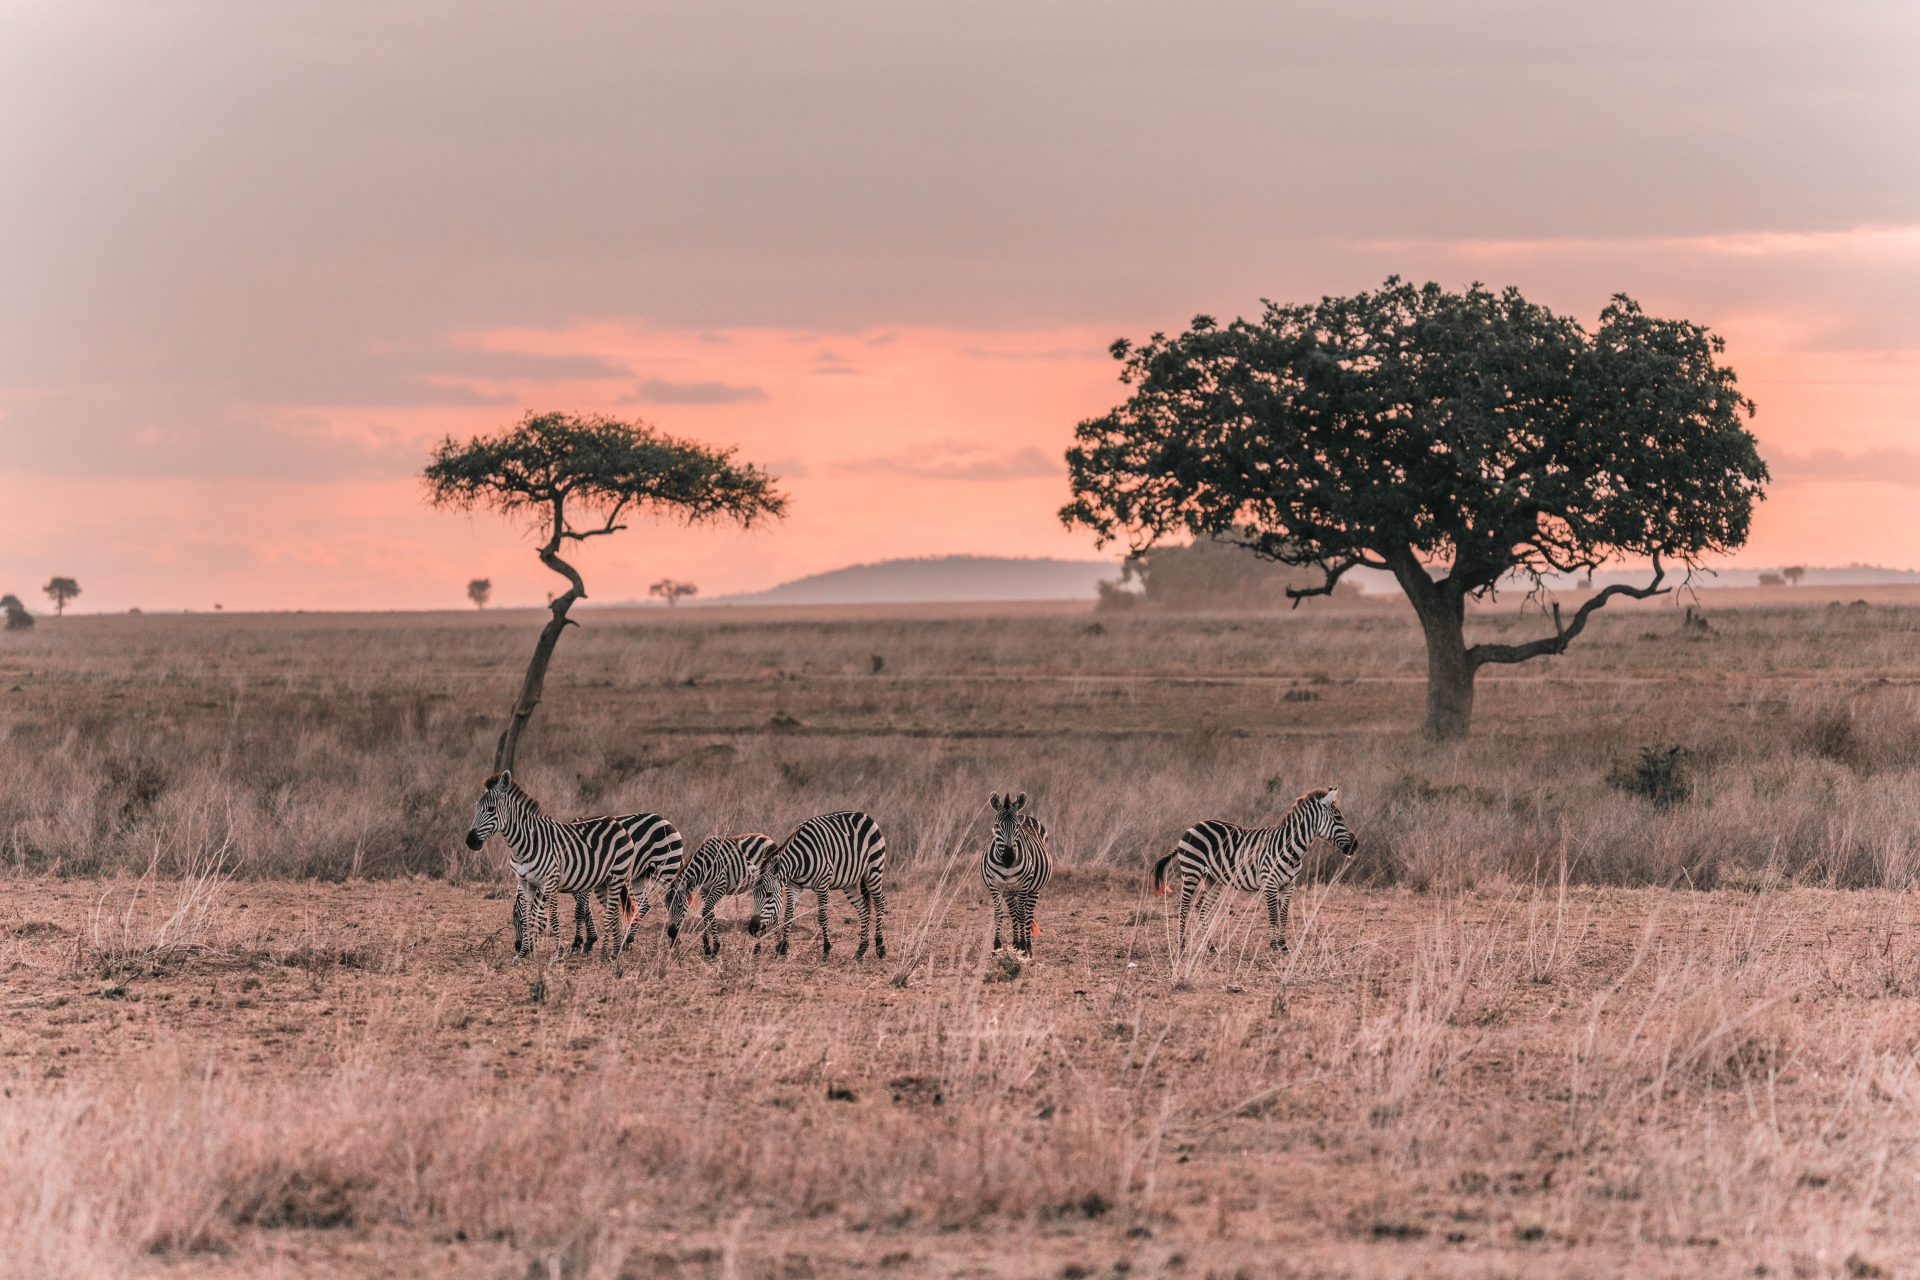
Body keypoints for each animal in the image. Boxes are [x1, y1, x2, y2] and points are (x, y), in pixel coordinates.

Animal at [460, 771, 672, 959]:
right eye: (476, 808)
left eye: (491, 809)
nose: (470, 841)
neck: (526, 844)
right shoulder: (530, 882)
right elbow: (539, 915)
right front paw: (524, 954)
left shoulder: (558, 881)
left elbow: (560, 916)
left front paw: (566, 950)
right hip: (614, 880)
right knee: (620, 910)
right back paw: (617, 948)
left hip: (645, 873)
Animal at [564, 817, 687, 955]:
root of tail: (667, 822)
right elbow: (585, 909)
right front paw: (590, 940)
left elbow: (580, 909)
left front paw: (577, 942)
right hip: (640, 876)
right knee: (645, 906)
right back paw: (628, 939)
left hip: (666, 869)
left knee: (679, 899)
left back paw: (675, 937)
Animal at [760, 809, 887, 959]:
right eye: (754, 895)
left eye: (769, 894)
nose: (753, 928)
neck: (800, 862)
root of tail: (865, 815)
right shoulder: (793, 885)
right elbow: (788, 915)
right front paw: (783, 949)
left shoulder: (822, 885)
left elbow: (822, 917)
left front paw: (826, 950)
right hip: (850, 882)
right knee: (863, 908)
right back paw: (861, 949)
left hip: (874, 870)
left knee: (879, 902)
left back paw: (880, 946)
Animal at [983, 790, 1059, 959]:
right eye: (996, 826)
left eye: (1017, 826)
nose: (1008, 858)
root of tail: (1024, 814)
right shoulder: (995, 886)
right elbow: (999, 914)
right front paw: (997, 946)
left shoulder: (1024, 885)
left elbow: (1022, 915)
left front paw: (1024, 947)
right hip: (1009, 891)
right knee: (1013, 913)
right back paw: (1015, 943)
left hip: (1033, 889)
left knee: (1027, 913)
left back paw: (1027, 947)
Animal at [1144, 786, 1359, 955]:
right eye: (1338, 817)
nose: (1355, 846)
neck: (1291, 849)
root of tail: (1192, 827)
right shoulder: (1270, 883)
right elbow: (1273, 915)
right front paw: (1274, 947)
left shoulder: (1288, 885)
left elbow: (1284, 915)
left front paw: (1284, 947)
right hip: (1191, 872)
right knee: (1184, 907)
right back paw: (1181, 946)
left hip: (1213, 879)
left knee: (1201, 908)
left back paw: (1210, 947)